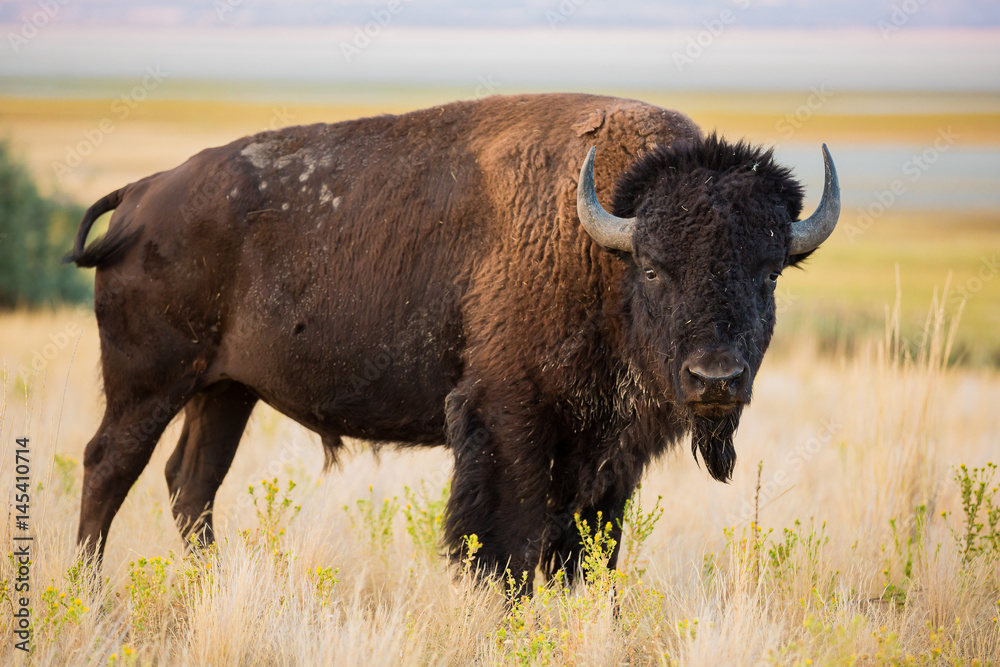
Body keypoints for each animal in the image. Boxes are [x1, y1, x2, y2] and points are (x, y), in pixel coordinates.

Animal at [66, 92, 840, 588]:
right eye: (654, 267)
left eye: (769, 271)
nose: (715, 379)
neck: (601, 244)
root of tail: (143, 194)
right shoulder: (509, 419)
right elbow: (508, 541)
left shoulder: (608, 450)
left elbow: (587, 549)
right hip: (149, 383)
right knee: (109, 466)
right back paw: (87, 591)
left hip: (226, 391)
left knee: (191, 483)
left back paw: (210, 584)